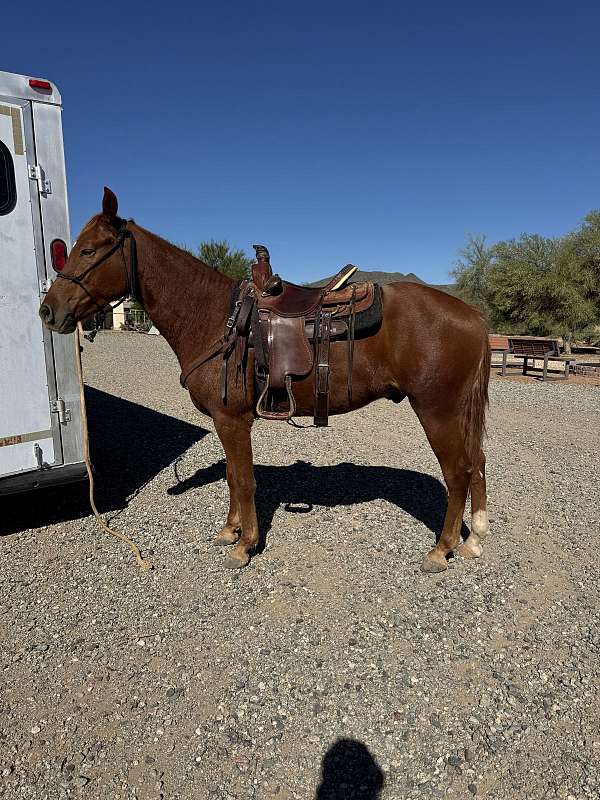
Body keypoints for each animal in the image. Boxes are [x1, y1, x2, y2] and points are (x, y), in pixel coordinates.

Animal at [40, 187, 491, 573]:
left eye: (89, 249)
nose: (48, 311)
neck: (213, 317)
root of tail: (473, 315)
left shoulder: (232, 420)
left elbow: (244, 480)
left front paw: (245, 545)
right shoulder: (227, 423)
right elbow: (232, 476)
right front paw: (230, 530)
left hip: (437, 410)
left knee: (458, 473)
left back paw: (441, 550)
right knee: (477, 463)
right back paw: (472, 539)